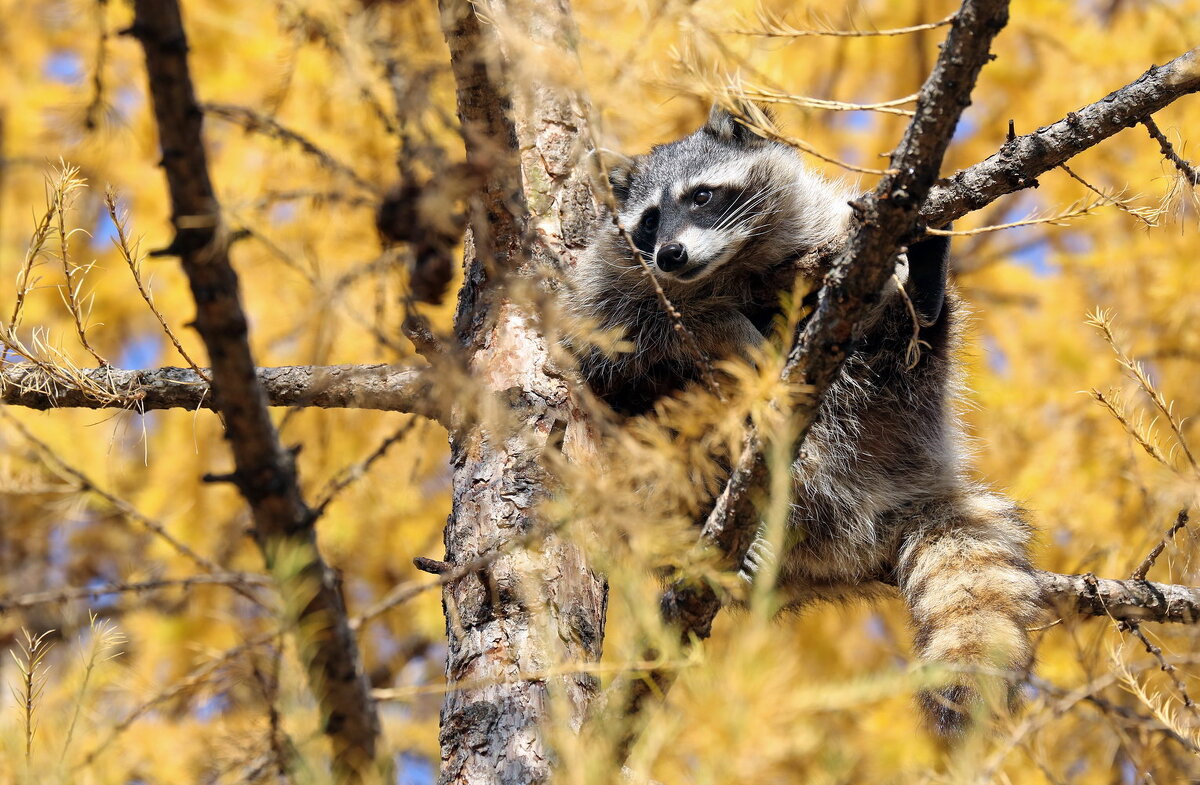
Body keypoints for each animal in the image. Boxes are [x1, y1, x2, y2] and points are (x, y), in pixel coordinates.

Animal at [566, 106, 1046, 739]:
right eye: (647, 223)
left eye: (701, 196)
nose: (670, 255)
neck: (727, 269)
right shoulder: (609, 282)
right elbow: (616, 349)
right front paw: (718, 323)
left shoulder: (827, 232)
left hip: (894, 407)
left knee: (892, 354)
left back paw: (923, 304)